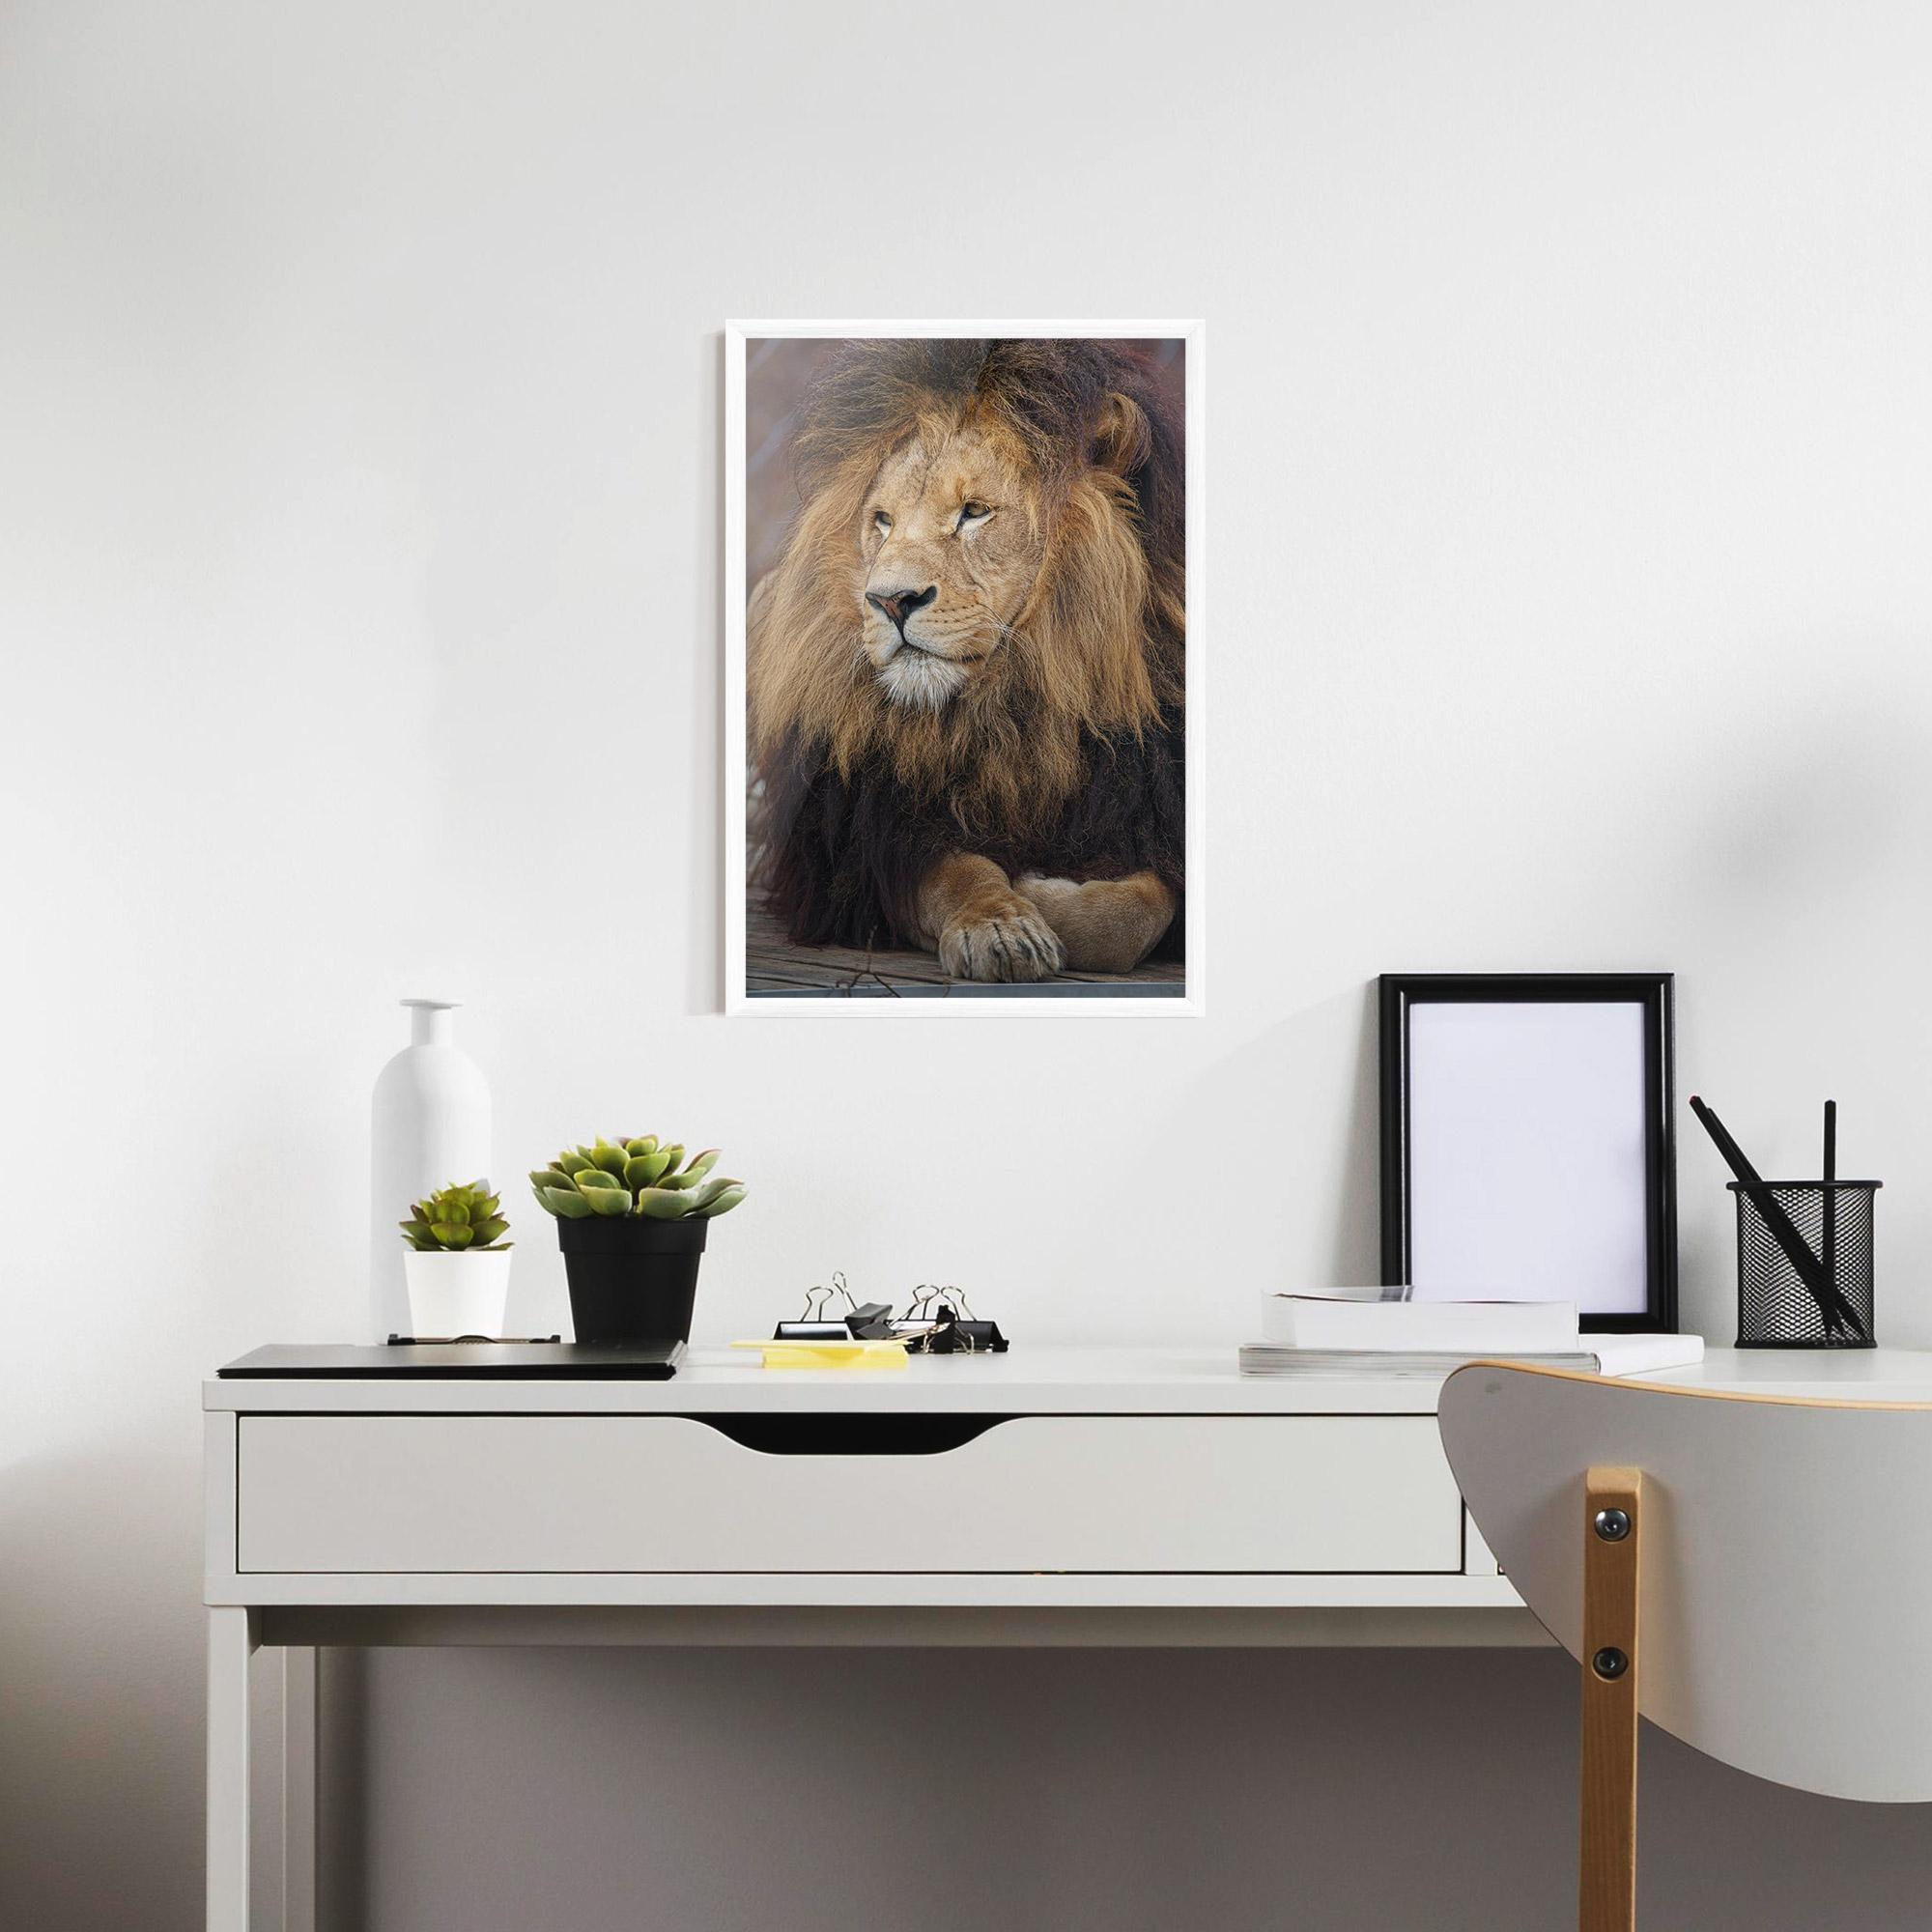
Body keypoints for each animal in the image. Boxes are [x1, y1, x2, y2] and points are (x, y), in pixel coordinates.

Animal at [748, 337, 1185, 984]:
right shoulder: (867, 845)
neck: (1012, 711)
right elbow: (957, 874)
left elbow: (1133, 915)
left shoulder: (1147, 814)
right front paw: (1003, 925)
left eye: (975, 511)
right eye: (882, 521)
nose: (889, 600)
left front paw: (1045, 888)